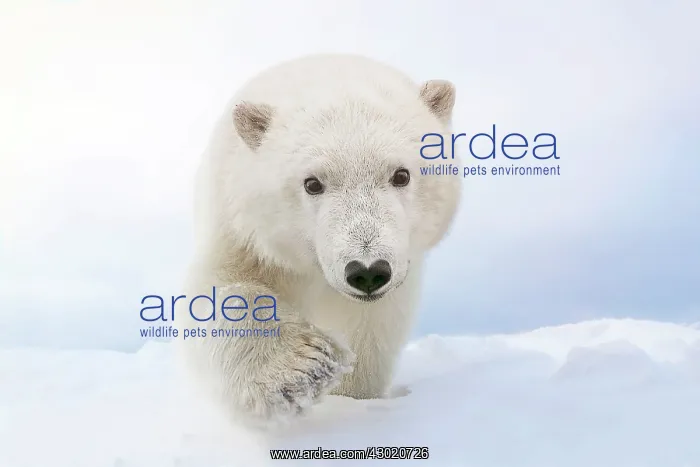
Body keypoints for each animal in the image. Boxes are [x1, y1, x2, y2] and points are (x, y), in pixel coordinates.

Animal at [175, 54, 461, 425]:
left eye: (402, 174)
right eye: (312, 183)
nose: (367, 270)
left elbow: (368, 333)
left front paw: (352, 395)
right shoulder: (241, 230)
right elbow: (218, 291)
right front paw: (303, 367)